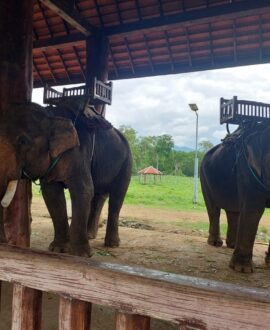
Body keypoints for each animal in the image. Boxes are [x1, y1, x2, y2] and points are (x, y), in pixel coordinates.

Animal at [0, 100, 132, 255]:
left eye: (23, 141)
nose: (5, 243)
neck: (51, 115)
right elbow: (52, 194)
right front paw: (58, 249)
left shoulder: (79, 152)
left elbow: (82, 190)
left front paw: (80, 254)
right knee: (99, 196)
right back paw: (90, 235)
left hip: (127, 163)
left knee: (117, 196)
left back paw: (112, 244)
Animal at [200, 124, 270, 274]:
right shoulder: (246, 168)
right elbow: (253, 209)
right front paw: (242, 270)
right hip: (203, 176)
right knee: (213, 209)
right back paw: (215, 244)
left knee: (233, 211)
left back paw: (231, 245)